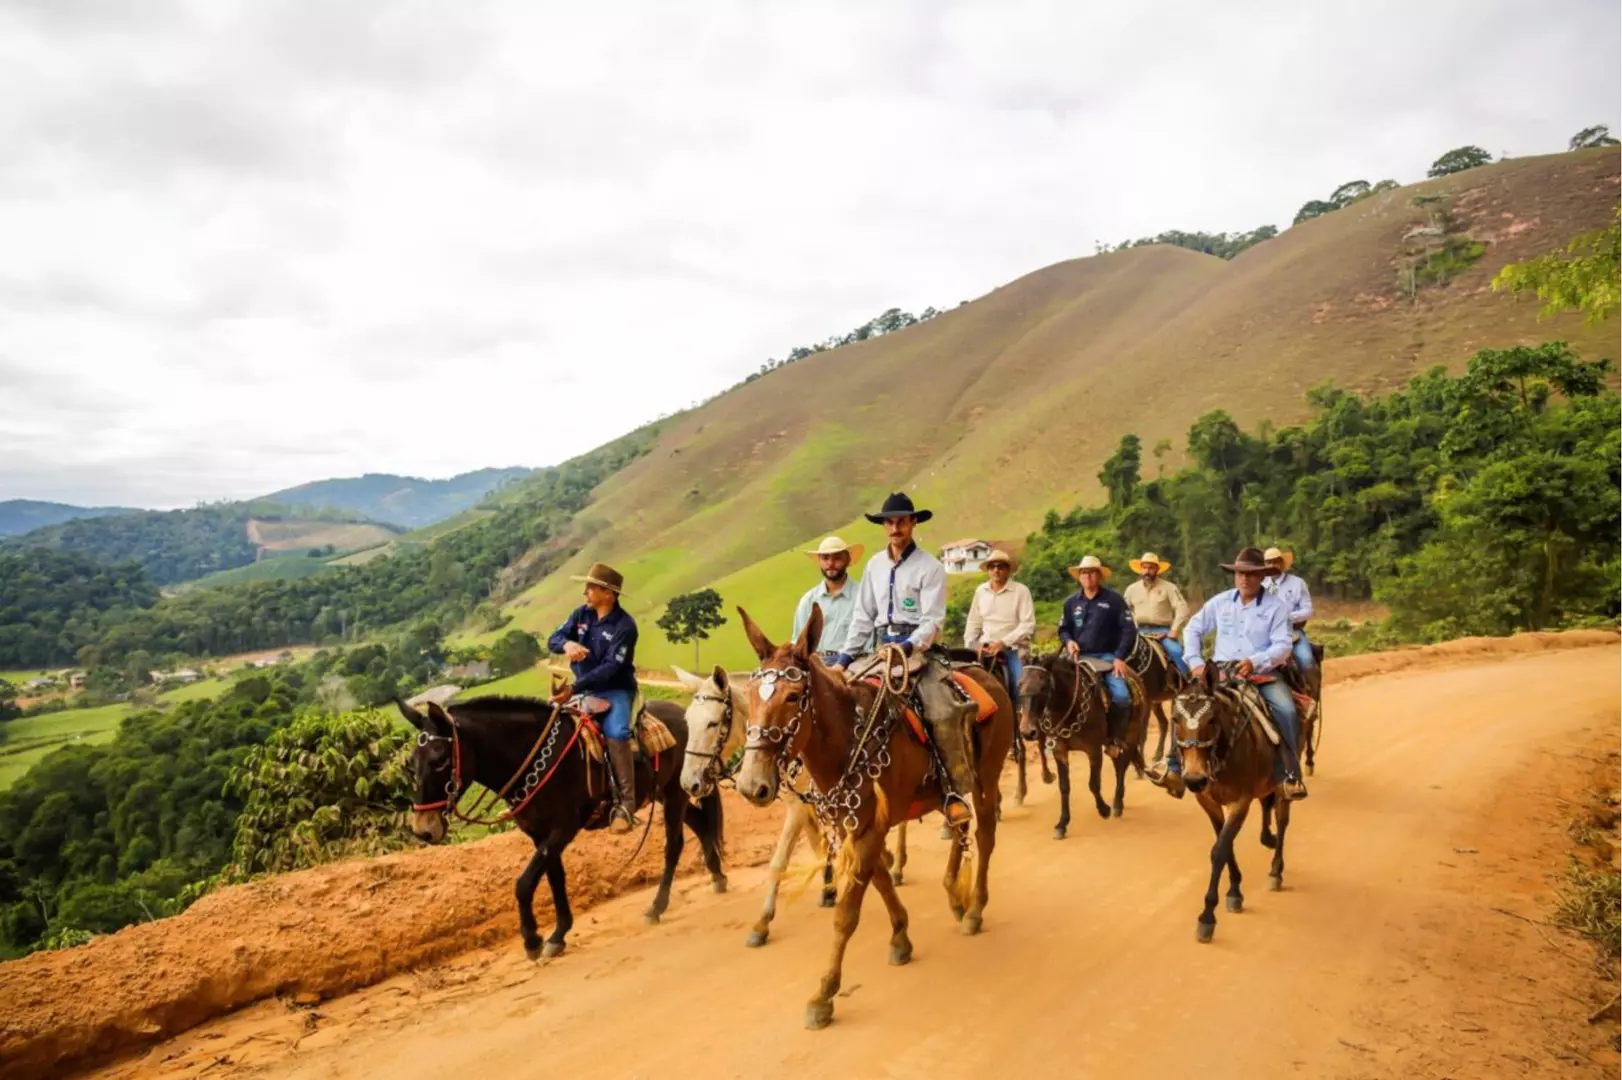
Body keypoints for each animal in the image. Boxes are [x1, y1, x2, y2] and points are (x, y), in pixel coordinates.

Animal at [736, 600, 1012, 1031]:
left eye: (795, 696)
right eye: (749, 695)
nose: (752, 785)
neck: (847, 739)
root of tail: (986, 672)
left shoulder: (868, 829)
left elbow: (847, 913)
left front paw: (824, 994)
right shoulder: (857, 825)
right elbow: (880, 879)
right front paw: (900, 935)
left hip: (987, 774)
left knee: (984, 833)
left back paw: (974, 909)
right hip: (948, 790)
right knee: (960, 821)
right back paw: (955, 894)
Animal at [1174, 664, 1297, 940]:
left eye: (1211, 719)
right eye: (1176, 720)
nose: (1194, 778)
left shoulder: (1240, 801)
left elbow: (1219, 850)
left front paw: (1207, 917)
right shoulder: (1208, 801)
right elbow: (1225, 844)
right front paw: (1234, 891)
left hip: (1284, 786)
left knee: (1282, 821)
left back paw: (1276, 870)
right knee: (1266, 807)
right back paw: (1267, 838)